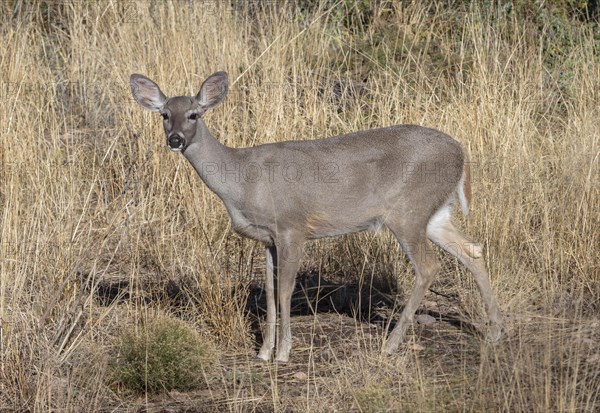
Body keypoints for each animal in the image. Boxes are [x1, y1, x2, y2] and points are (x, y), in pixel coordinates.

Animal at [132, 72, 506, 362]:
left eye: (194, 114)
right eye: (164, 114)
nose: (175, 140)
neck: (241, 180)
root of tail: (461, 152)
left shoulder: (293, 228)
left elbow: (284, 291)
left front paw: (283, 353)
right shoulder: (268, 238)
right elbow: (268, 292)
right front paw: (263, 352)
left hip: (408, 211)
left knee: (429, 267)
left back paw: (390, 345)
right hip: (435, 214)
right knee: (472, 250)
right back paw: (494, 332)